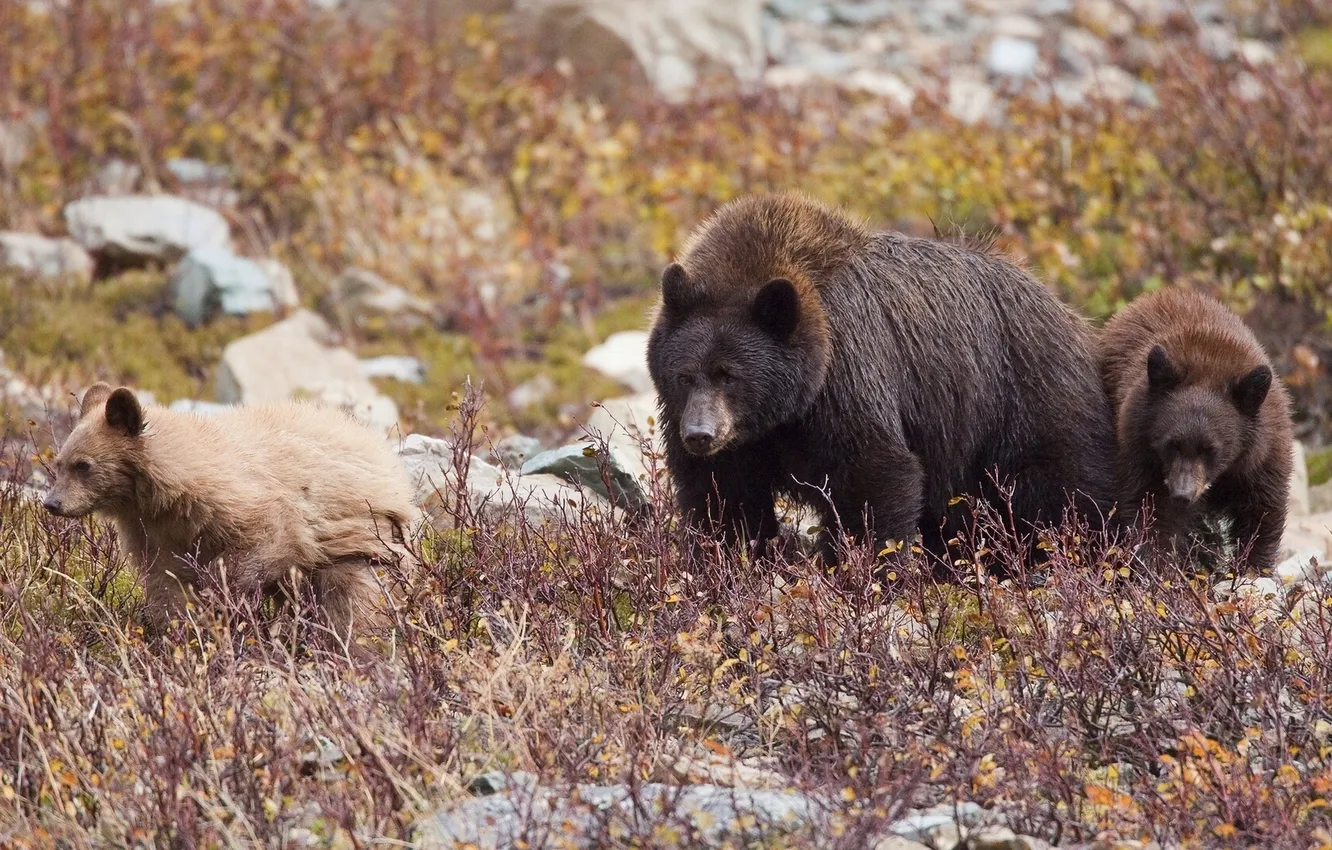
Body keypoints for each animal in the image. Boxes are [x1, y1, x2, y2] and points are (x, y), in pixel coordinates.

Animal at [42, 383, 421, 645]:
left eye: (83, 465)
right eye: (59, 463)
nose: (52, 503)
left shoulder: (242, 503)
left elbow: (265, 542)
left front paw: (220, 600)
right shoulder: (152, 531)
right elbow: (167, 584)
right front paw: (183, 633)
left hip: (363, 546)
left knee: (351, 605)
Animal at [645, 192, 1119, 565]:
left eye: (730, 375)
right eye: (685, 376)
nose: (700, 433)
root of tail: (1067, 311)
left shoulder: (848, 377)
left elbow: (874, 473)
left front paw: (870, 570)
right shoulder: (738, 443)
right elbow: (723, 499)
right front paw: (727, 562)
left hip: (1023, 392)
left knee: (1069, 486)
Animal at [1098, 288, 1293, 572]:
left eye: (1211, 450)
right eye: (1171, 444)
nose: (1183, 494)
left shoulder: (1263, 455)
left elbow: (1262, 511)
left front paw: (1253, 568)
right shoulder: (1141, 447)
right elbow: (1151, 510)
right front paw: (1155, 566)